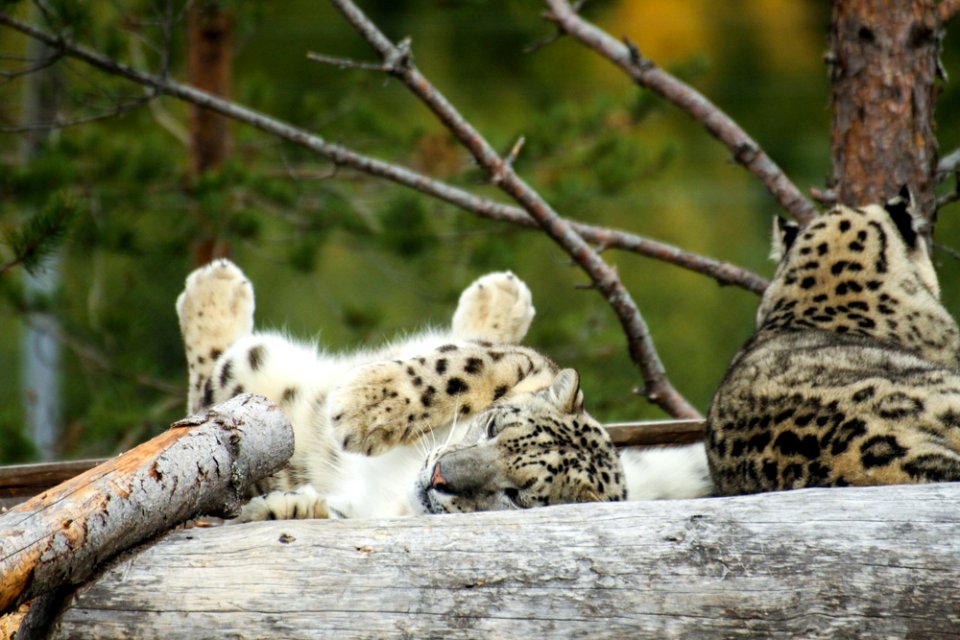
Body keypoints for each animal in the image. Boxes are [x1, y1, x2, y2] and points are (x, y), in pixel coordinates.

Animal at [178, 260, 712, 520]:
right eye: (493, 426)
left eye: (516, 495)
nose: (439, 477)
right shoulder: (530, 364)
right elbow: (469, 364)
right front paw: (366, 407)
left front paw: (292, 507)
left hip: (259, 383)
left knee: (212, 381)